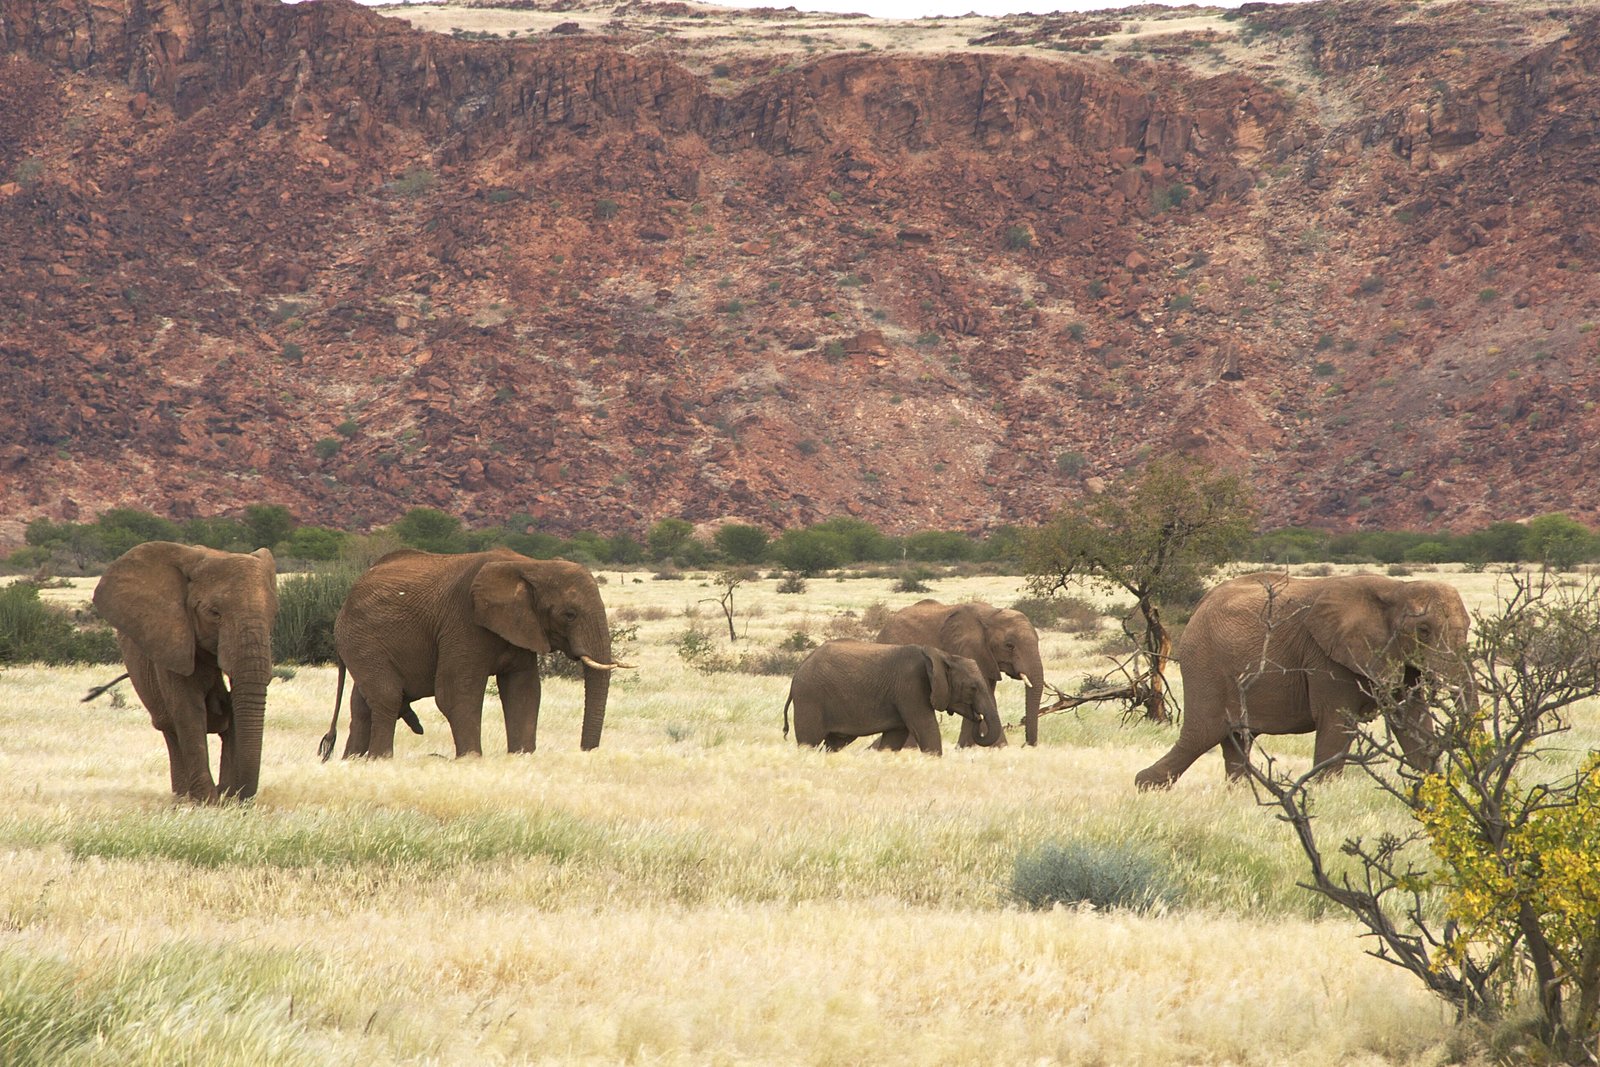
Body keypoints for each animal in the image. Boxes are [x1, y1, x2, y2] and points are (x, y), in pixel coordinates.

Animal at [90, 542, 278, 802]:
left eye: (273, 614)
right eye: (214, 613)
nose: (231, 794)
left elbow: (235, 712)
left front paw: (226, 800)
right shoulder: (171, 642)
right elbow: (189, 711)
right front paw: (208, 802)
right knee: (170, 729)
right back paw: (183, 799)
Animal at [320, 548, 626, 760]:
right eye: (569, 615)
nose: (585, 751)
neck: (531, 565)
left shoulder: (521, 627)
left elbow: (524, 691)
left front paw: (522, 757)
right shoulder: (463, 623)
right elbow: (457, 693)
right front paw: (470, 760)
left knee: (363, 705)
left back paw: (353, 761)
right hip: (360, 639)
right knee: (387, 697)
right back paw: (380, 759)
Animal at [783, 639, 1003, 755]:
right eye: (973, 688)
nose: (978, 717)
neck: (943, 656)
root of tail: (797, 674)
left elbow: (895, 738)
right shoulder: (911, 688)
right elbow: (926, 729)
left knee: (834, 743)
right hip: (810, 698)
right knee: (809, 741)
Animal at [876, 600, 1046, 746]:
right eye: (1009, 645)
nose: (1026, 745)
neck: (992, 614)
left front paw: (967, 747)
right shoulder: (970, 650)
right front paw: (999, 746)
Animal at [1136, 571, 1474, 790]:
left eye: (1470, 626)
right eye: (1424, 631)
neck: (1397, 589)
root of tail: (1199, 607)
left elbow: (1413, 722)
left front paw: (1436, 794)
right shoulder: (1325, 657)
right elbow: (1337, 722)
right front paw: (1323, 794)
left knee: (1237, 740)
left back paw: (1240, 795)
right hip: (1205, 665)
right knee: (1201, 735)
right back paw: (1145, 786)